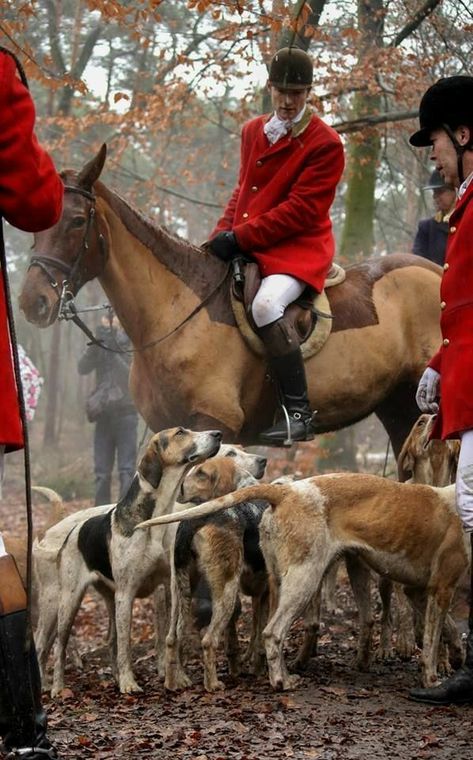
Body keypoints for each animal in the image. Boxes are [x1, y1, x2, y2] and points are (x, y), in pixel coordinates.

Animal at [18, 145, 440, 454]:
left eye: (76, 221)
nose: (32, 302)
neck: (177, 314)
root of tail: (435, 270)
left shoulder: (213, 424)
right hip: (398, 407)